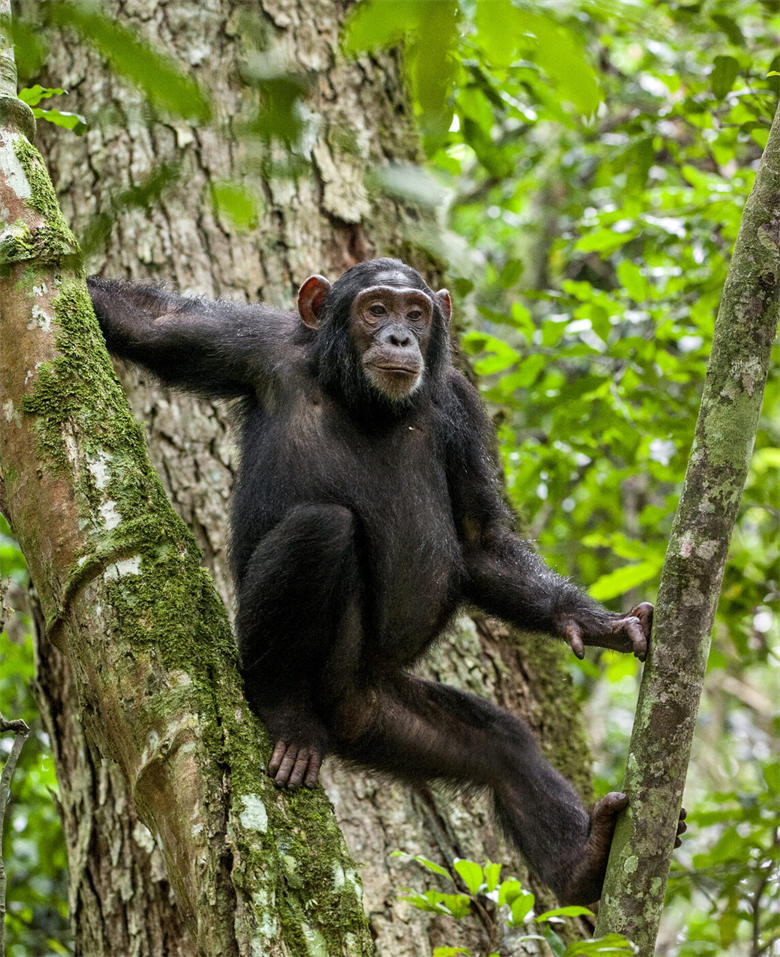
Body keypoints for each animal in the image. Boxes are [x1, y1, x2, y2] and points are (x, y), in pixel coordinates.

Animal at [87, 258, 672, 900]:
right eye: (376, 309)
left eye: (415, 312)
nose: (399, 338)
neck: (365, 401)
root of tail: (340, 716)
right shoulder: (253, 344)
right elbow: (149, 322)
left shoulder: (462, 407)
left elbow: (480, 541)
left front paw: (596, 623)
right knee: (321, 526)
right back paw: (286, 712)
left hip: (381, 717)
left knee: (504, 749)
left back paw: (582, 864)